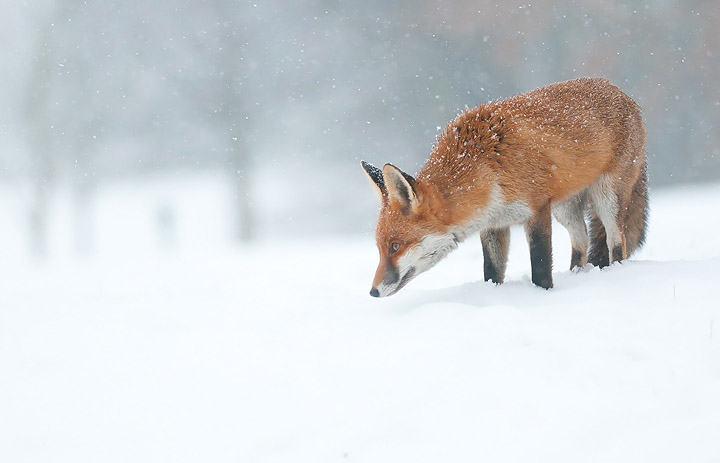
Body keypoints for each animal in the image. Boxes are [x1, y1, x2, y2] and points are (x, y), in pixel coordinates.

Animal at [362, 77, 648, 297]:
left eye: (395, 247)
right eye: (380, 248)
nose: (373, 292)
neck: (485, 166)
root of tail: (622, 92)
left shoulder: (537, 209)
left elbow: (540, 267)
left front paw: (543, 296)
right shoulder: (494, 224)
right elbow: (492, 272)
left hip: (607, 199)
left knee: (616, 241)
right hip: (566, 209)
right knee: (582, 241)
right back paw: (577, 275)